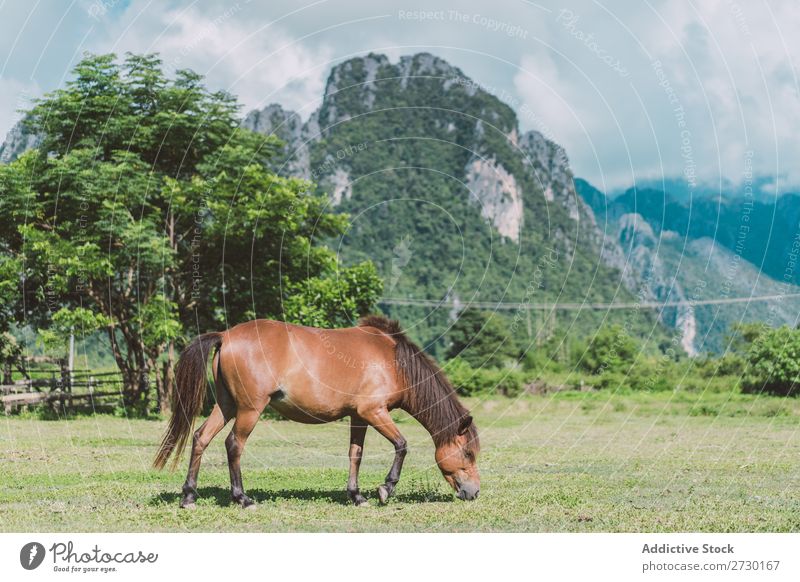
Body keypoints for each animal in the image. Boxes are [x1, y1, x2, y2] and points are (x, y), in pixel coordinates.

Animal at [155, 318, 482, 508]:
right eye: (468, 453)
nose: (474, 492)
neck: (394, 362)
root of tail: (226, 335)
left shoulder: (359, 416)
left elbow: (355, 454)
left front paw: (356, 495)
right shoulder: (374, 412)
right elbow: (402, 445)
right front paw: (385, 489)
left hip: (226, 406)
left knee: (201, 438)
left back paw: (189, 496)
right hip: (249, 409)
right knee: (234, 445)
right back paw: (242, 498)